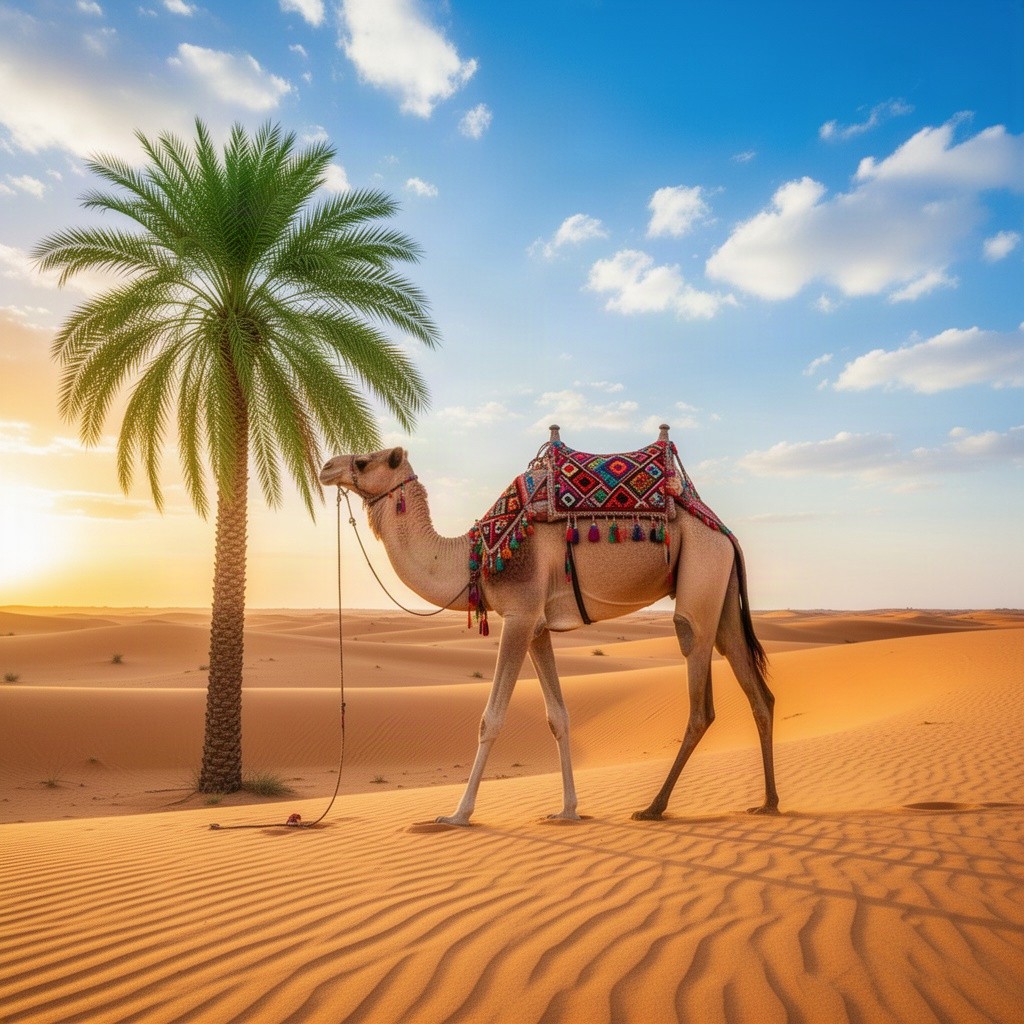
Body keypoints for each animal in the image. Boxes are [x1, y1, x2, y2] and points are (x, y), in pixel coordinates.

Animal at [319, 426, 778, 826]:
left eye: (362, 461)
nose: (326, 467)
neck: (475, 555)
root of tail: (724, 531)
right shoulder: (538, 625)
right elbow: (558, 716)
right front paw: (568, 810)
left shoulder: (519, 614)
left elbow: (491, 719)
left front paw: (457, 814)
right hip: (719, 584)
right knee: (754, 684)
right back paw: (768, 803)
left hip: (701, 569)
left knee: (698, 688)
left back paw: (654, 807)